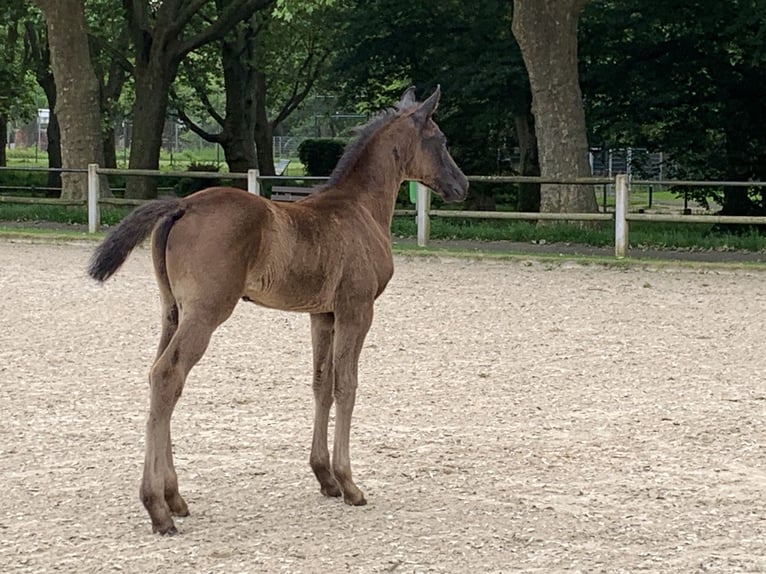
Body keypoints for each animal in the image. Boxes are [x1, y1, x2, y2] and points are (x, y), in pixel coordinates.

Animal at [87, 85, 464, 536]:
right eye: (441, 139)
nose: (462, 185)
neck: (360, 209)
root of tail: (183, 205)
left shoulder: (323, 315)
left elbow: (322, 384)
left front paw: (324, 477)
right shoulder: (356, 310)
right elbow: (347, 385)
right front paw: (350, 483)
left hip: (172, 311)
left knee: (160, 378)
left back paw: (174, 497)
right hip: (206, 312)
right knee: (167, 376)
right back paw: (157, 509)